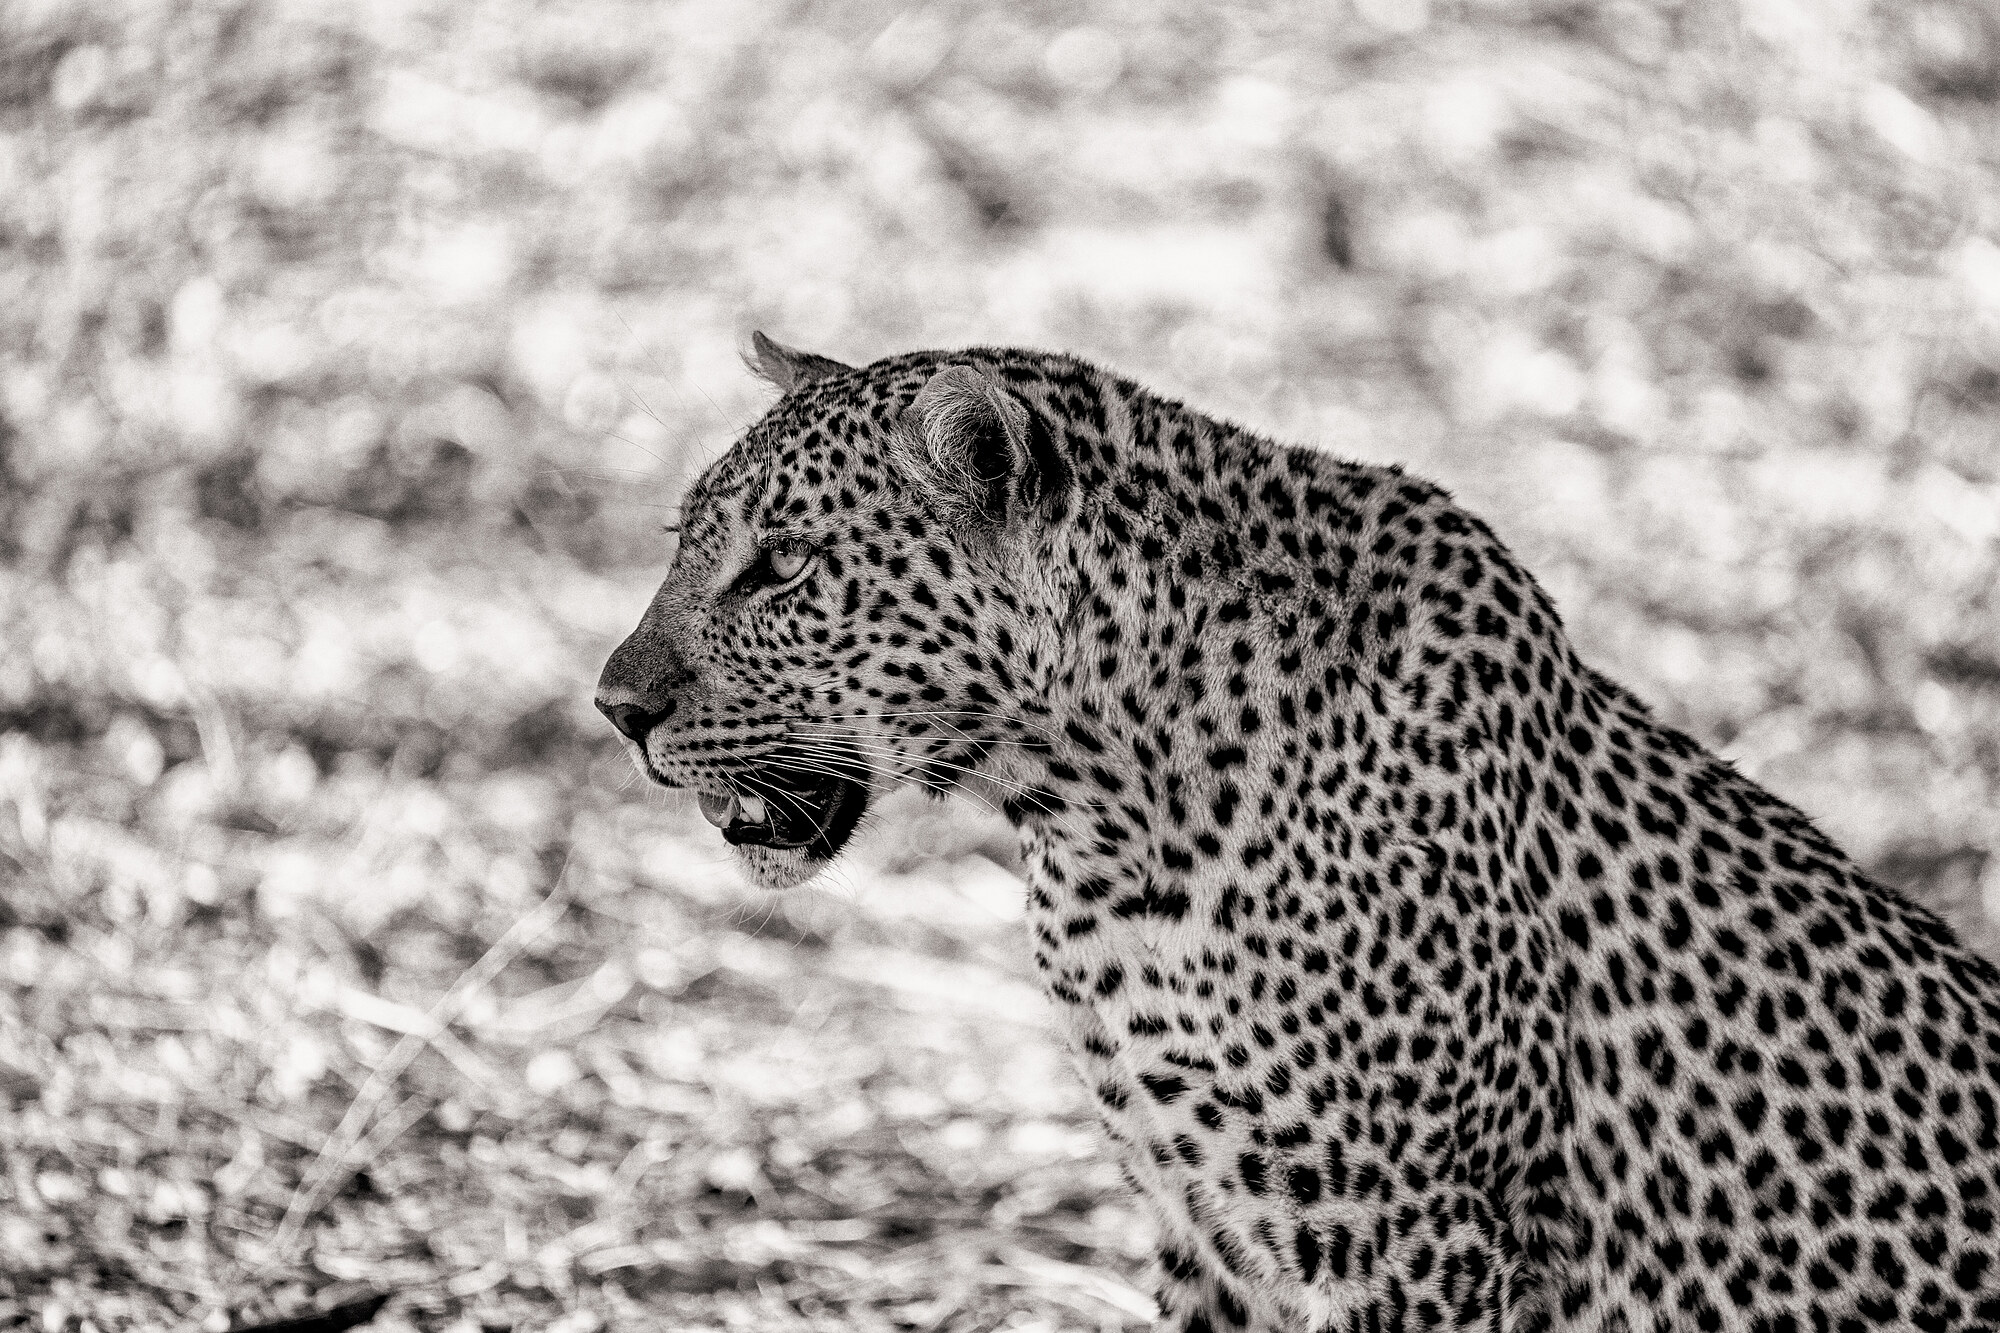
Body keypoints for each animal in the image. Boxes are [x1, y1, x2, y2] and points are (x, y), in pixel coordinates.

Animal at [597, 334, 2000, 1333]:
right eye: (684, 541)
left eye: (782, 567)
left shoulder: (1419, 1237)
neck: (1101, 823)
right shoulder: (1200, 1221)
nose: (614, 706)